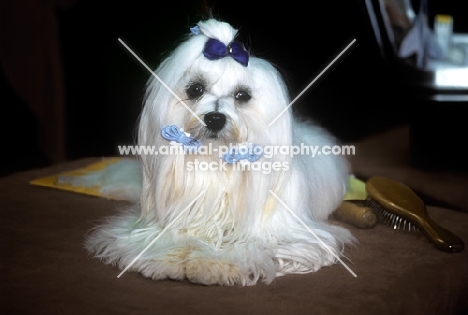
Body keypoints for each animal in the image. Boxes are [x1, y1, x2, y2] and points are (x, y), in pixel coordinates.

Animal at [85, 18, 354, 288]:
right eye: (195, 89)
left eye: (242, 95)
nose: (215, 118)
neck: (214, 162)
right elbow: (165, 238)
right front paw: (165, 260)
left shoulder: (285, 236)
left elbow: (245, 245)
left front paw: (213, 264)